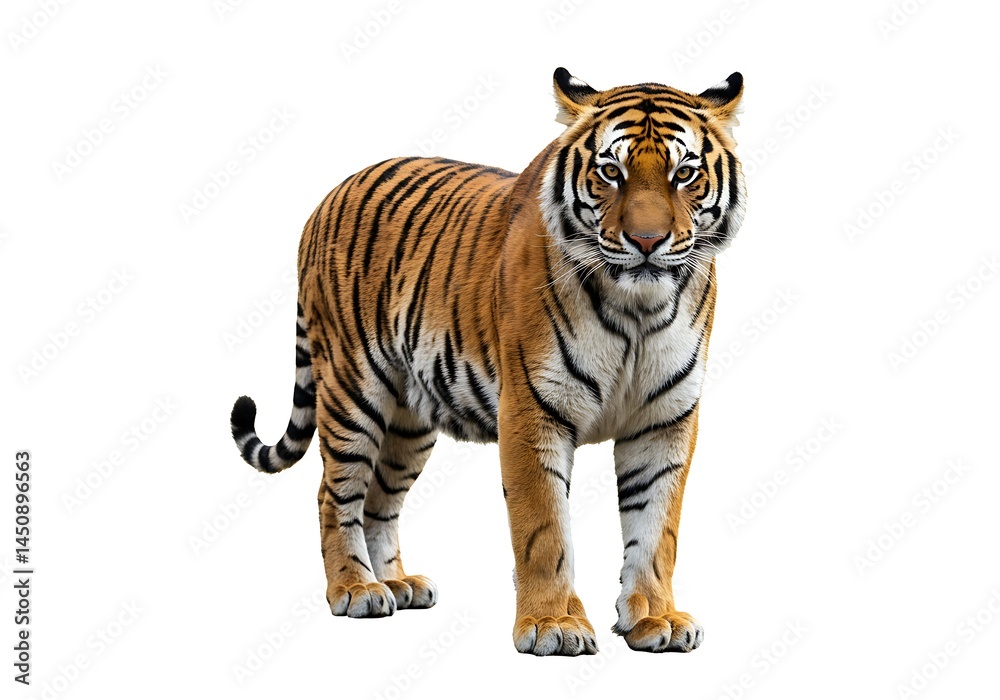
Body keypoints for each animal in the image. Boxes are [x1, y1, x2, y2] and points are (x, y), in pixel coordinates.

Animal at [230, 67, 746, 656]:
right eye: (610, 172)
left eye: (685, 174)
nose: (646, 240)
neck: (638, 306)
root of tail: (328, 196)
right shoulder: (531, 409)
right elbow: (544, 529)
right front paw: (552, 625)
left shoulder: (664, 420)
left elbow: (657, 529)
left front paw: (655, 618)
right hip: (351, 387)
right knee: (332, 494)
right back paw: (355, 589)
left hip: (409, 419)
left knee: (380, 499)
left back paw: (398, 583)